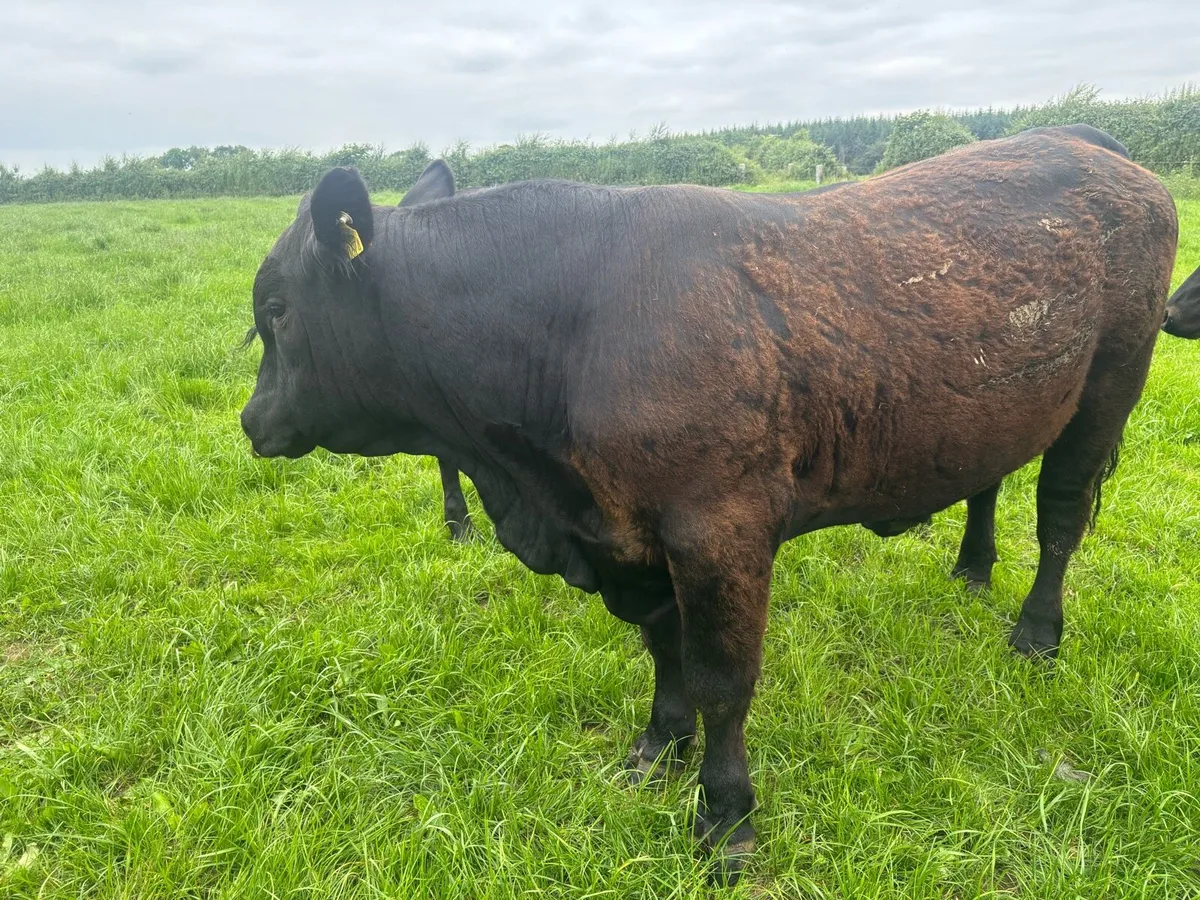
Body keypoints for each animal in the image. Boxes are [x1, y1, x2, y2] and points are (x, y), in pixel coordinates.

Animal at [239, 124, 1177, 885]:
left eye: (277, 309)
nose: (251, 421)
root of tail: (1094, 147)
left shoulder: (720, 530)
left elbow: (724, 680)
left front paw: (726, 818)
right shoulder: (628, 536)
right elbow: (665, 651)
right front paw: (659, 747)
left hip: (1109, 388)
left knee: (1061, 518)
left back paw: (1036, 632)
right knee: (990, 481)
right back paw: (973, 568)